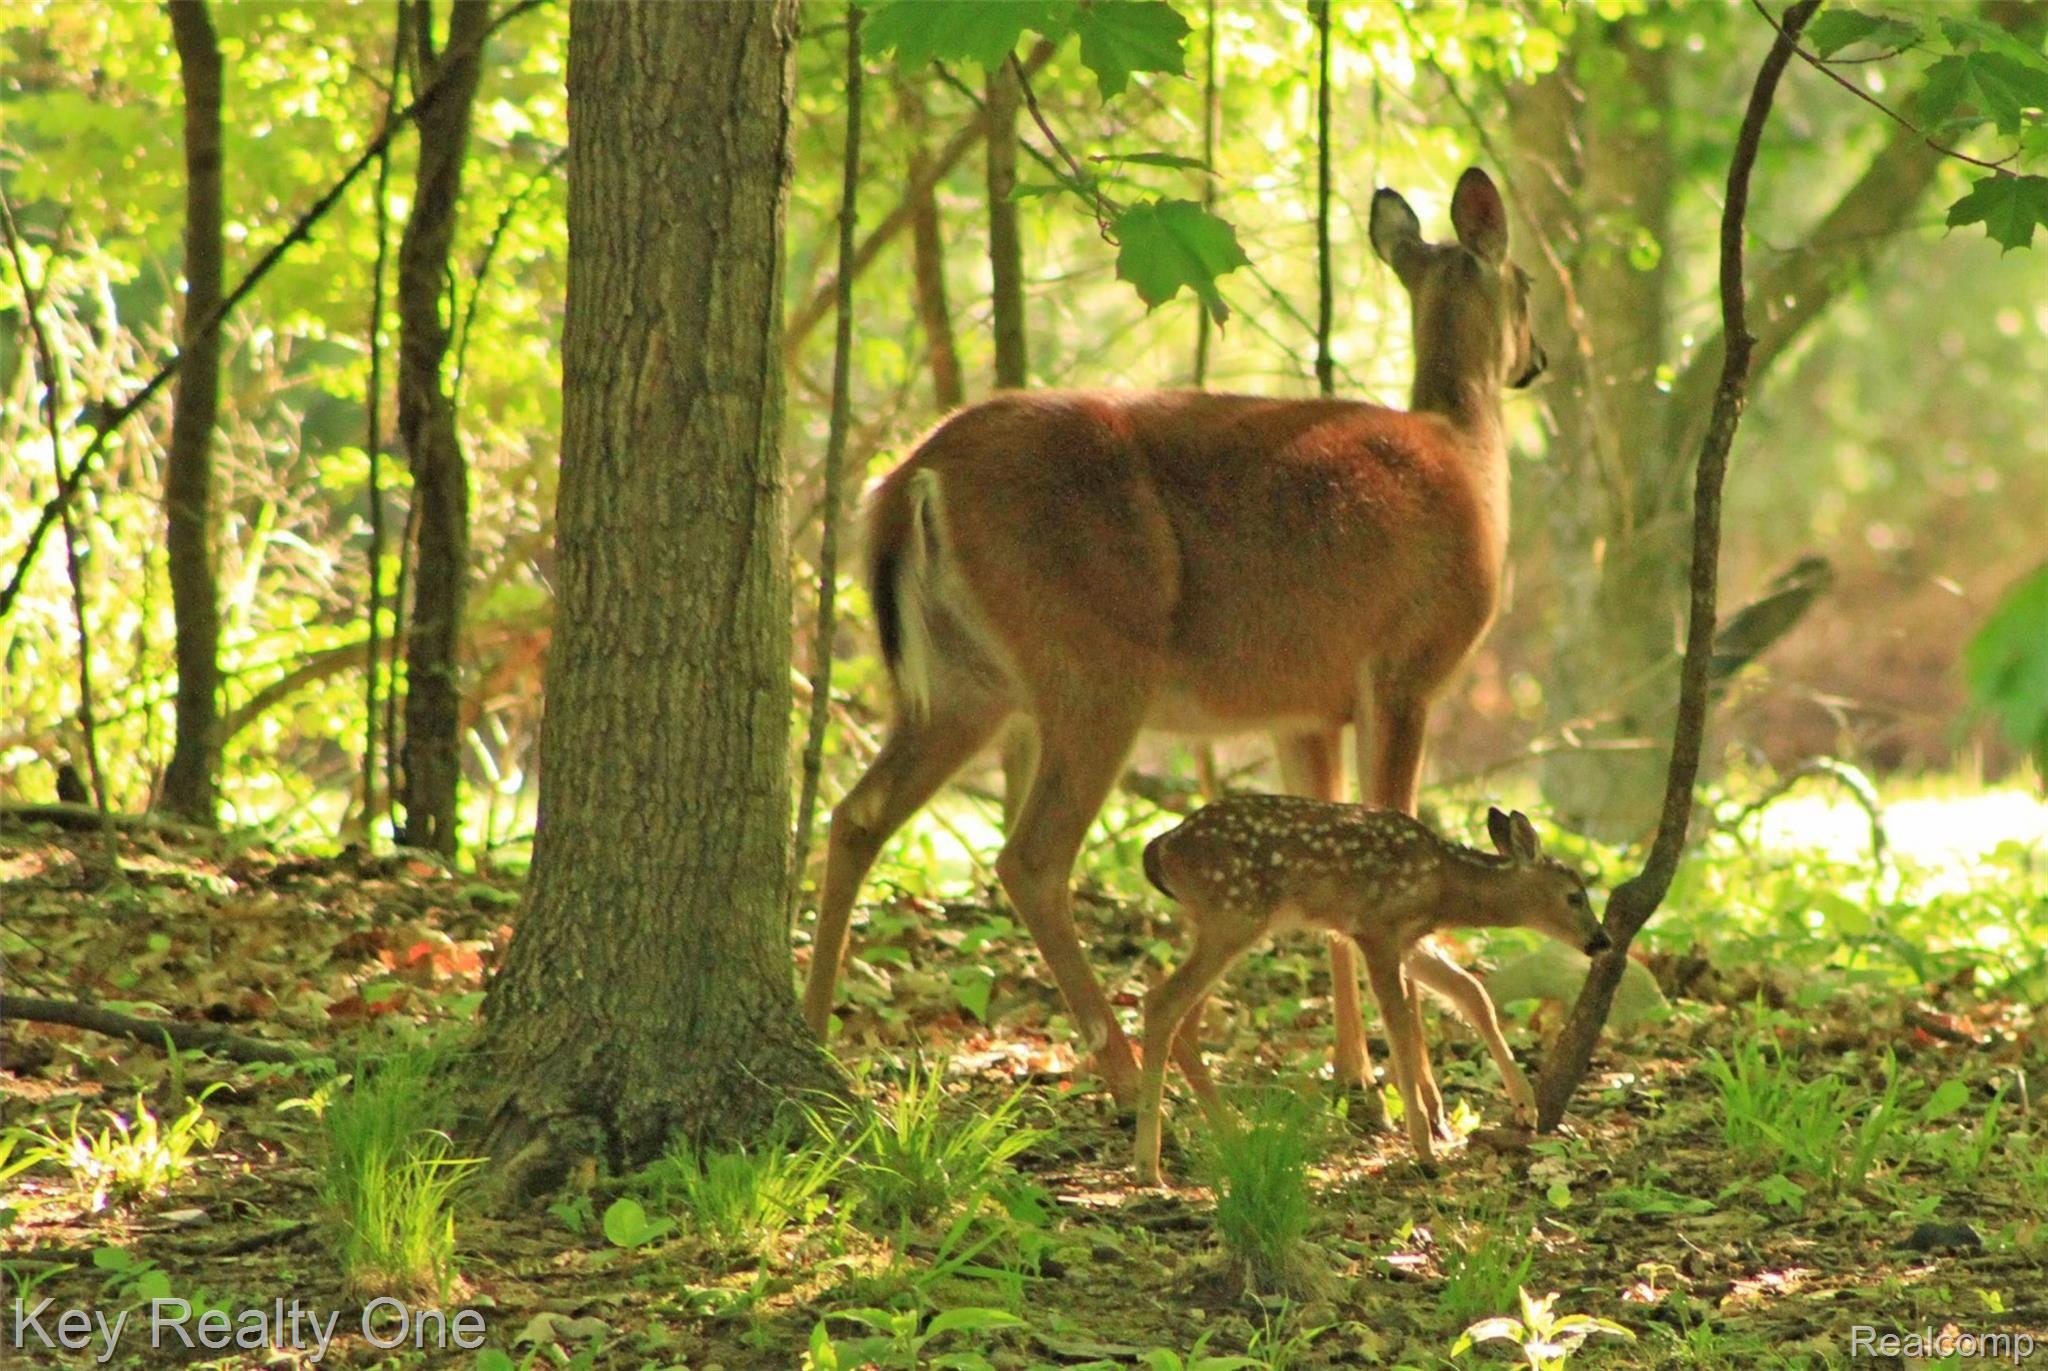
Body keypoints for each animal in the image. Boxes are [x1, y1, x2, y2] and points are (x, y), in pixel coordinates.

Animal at [801, 167, 1546, 1112]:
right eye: (1527, 285)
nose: (1537, 359)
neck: (1468, 459)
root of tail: (912, 478)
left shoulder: (1303, 707)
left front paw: (1355, 1074)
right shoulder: (1405, 667)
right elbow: (1394, 829)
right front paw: (1416, 1089)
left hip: (964, 680)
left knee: (857, 815)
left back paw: (815, 1040)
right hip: (1093, 657)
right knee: (1031, 856)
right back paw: (1124, 1075)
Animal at [1132, 798, 1609, 1184]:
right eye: (1574, 896)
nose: (1602, 941)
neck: (1443, 886)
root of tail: (1161, 847)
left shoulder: (1410, 941)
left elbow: (1472, 991)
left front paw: (1526, 1106)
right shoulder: (1375, 928)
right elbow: (1398, 1021)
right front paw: (1424, 1149)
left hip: (1223, 923)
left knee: (1184, 1021)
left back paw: (1231, 1137)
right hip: (1233, 915)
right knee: (1161, 1002)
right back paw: (1148, 1167)